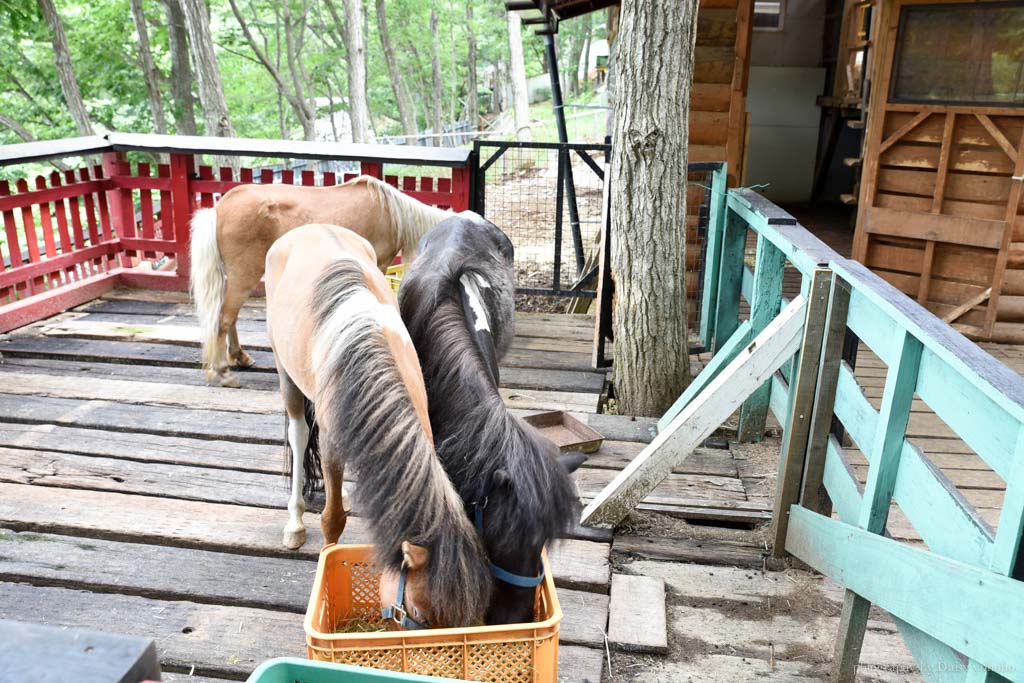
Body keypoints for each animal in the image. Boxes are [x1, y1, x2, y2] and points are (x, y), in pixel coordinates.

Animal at [190, 175, 450, 389]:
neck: (390, 212)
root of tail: (218, 209)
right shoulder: (378, 264)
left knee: (229, 316)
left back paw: (239, 357)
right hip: (243, 274)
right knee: (224, 318)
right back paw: (223, 373)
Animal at [266, 224, 493, 630]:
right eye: (418, 614)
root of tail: (309, 228)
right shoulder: (333, 446)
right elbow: (333, 519)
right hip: (285, 373)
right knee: (298, 434)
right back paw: (294, 524)